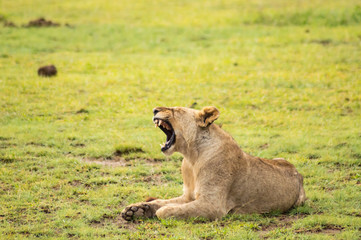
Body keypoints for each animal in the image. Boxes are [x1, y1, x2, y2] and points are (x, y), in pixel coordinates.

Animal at [121, 107, 304, 221]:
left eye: (176, 110)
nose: (154, 110)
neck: (191, 157)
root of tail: (297, 172)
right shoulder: (188, 196)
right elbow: (160, 202)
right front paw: (136, 210)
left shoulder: (212, 205)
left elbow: (165, 210)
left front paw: (157, 211)